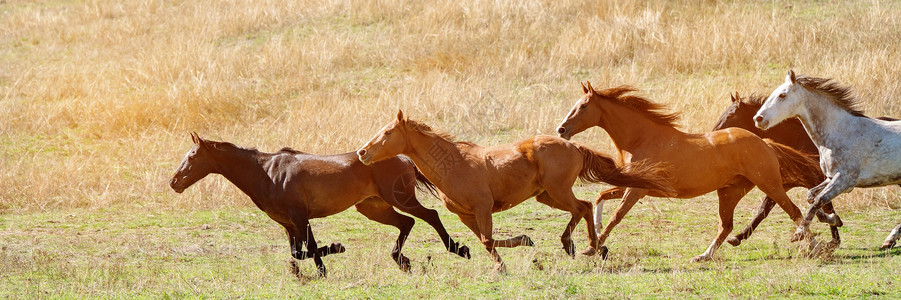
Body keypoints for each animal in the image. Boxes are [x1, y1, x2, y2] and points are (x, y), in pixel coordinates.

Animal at [166, 132, 472, 278]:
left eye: (192, 156)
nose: (174, 182)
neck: (267, 172)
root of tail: (404, 157)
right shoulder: (288, 223)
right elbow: (297, 251)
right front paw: (328, 256)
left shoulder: (300, 217)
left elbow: (310, 247)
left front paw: (330, 258)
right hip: (373, 207)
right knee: (407, 223)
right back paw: (402, 261)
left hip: (400, 199)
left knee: (430, 215)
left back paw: (459, 249)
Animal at [356, 111, 672, 274]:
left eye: (387, 133)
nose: (362, 153)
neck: (453, 164)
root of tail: (573, 146)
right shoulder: (465, 215)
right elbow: (487, 240)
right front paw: (522, 242)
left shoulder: (482, 208)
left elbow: (487, 240)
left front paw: (502, 265)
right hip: (547, 195)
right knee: (582, 205)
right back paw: (589, 247)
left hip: (557, 190)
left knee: (581, 207)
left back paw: (583, 246)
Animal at [552, 82, 820, 262]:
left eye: (583, 106)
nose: (561, 129)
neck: (641, 139)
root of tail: (765, 142)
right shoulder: (634, 184)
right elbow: (601, 196)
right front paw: (595, 236)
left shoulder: (636, 190)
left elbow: (616, 216)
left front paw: (593, 247)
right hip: (730, 192)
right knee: (726, 226)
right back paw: (703, 256)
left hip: (769, 185)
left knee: (794, 212)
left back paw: (816, 247)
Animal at [752, 70, 900, 248]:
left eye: (782, 95)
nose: (758, 119)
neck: (841, 132)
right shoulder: (830, 177)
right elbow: (811, 196)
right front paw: (833, 219)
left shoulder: (845, 180)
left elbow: (818, 200)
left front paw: (799, 233)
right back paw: (889, 240)